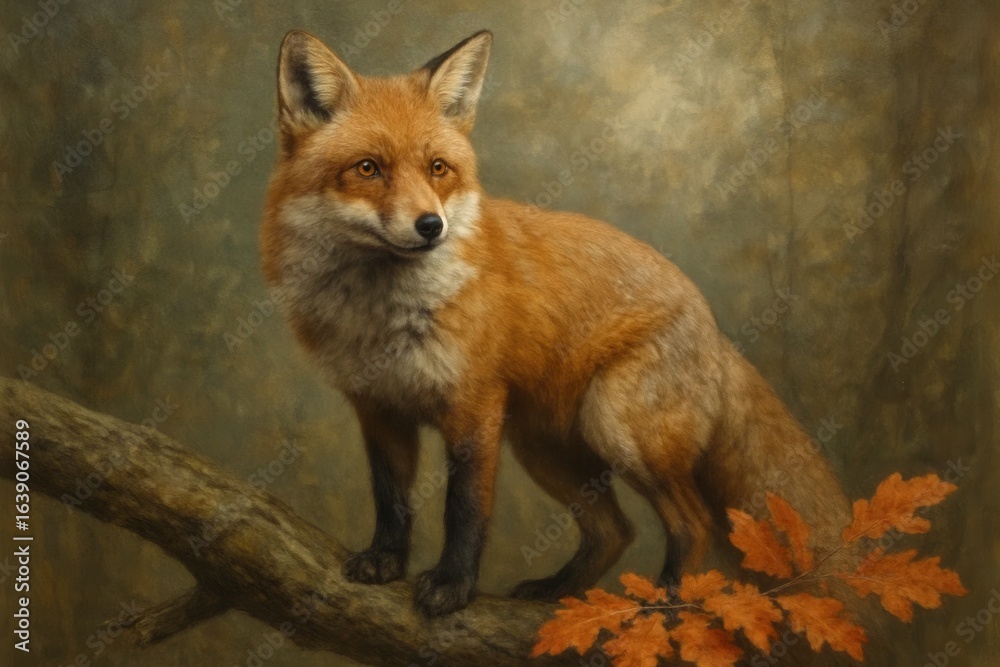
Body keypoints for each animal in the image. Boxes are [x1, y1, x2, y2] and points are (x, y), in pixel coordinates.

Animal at [259, 29, 855, 618]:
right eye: (368, 168)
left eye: (437, 169)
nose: (431, 226)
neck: (382, 318)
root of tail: (715, 329)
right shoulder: (379, 408)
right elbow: (390, 499)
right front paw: (386, 561)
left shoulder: (474, 407)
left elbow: (465, 509)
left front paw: (453, 585)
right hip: (545, 448)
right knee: (615, 531)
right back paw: (560, 595)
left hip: (617, 429)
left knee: (694, 523)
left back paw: (662, 605)